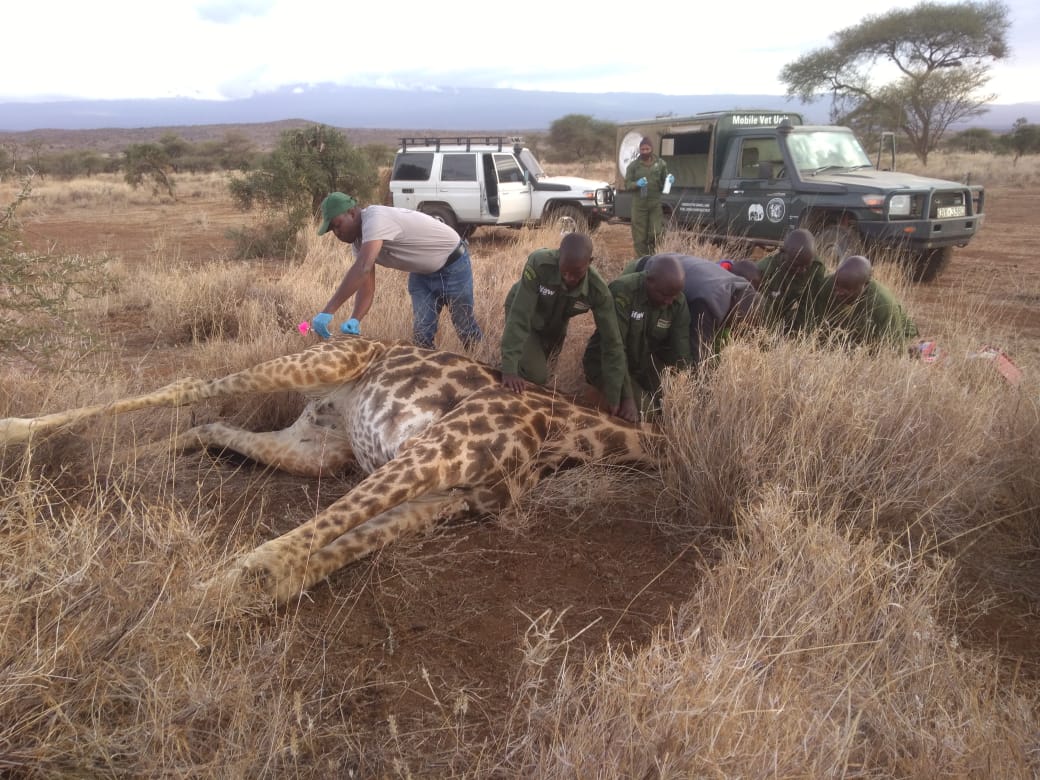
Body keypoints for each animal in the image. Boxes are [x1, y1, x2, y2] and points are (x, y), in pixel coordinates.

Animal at [0, 337, 661, 602]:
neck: (564, 438)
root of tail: (331, 401)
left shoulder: (445, 498)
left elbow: (291, 570)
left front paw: (202, 608)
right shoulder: (434, 450)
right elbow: (273, 557)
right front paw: (167, 619)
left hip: (317, 451)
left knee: (209, 425)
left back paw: (107, 460)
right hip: (322, 360)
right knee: (191, 386)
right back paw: (17, 431)